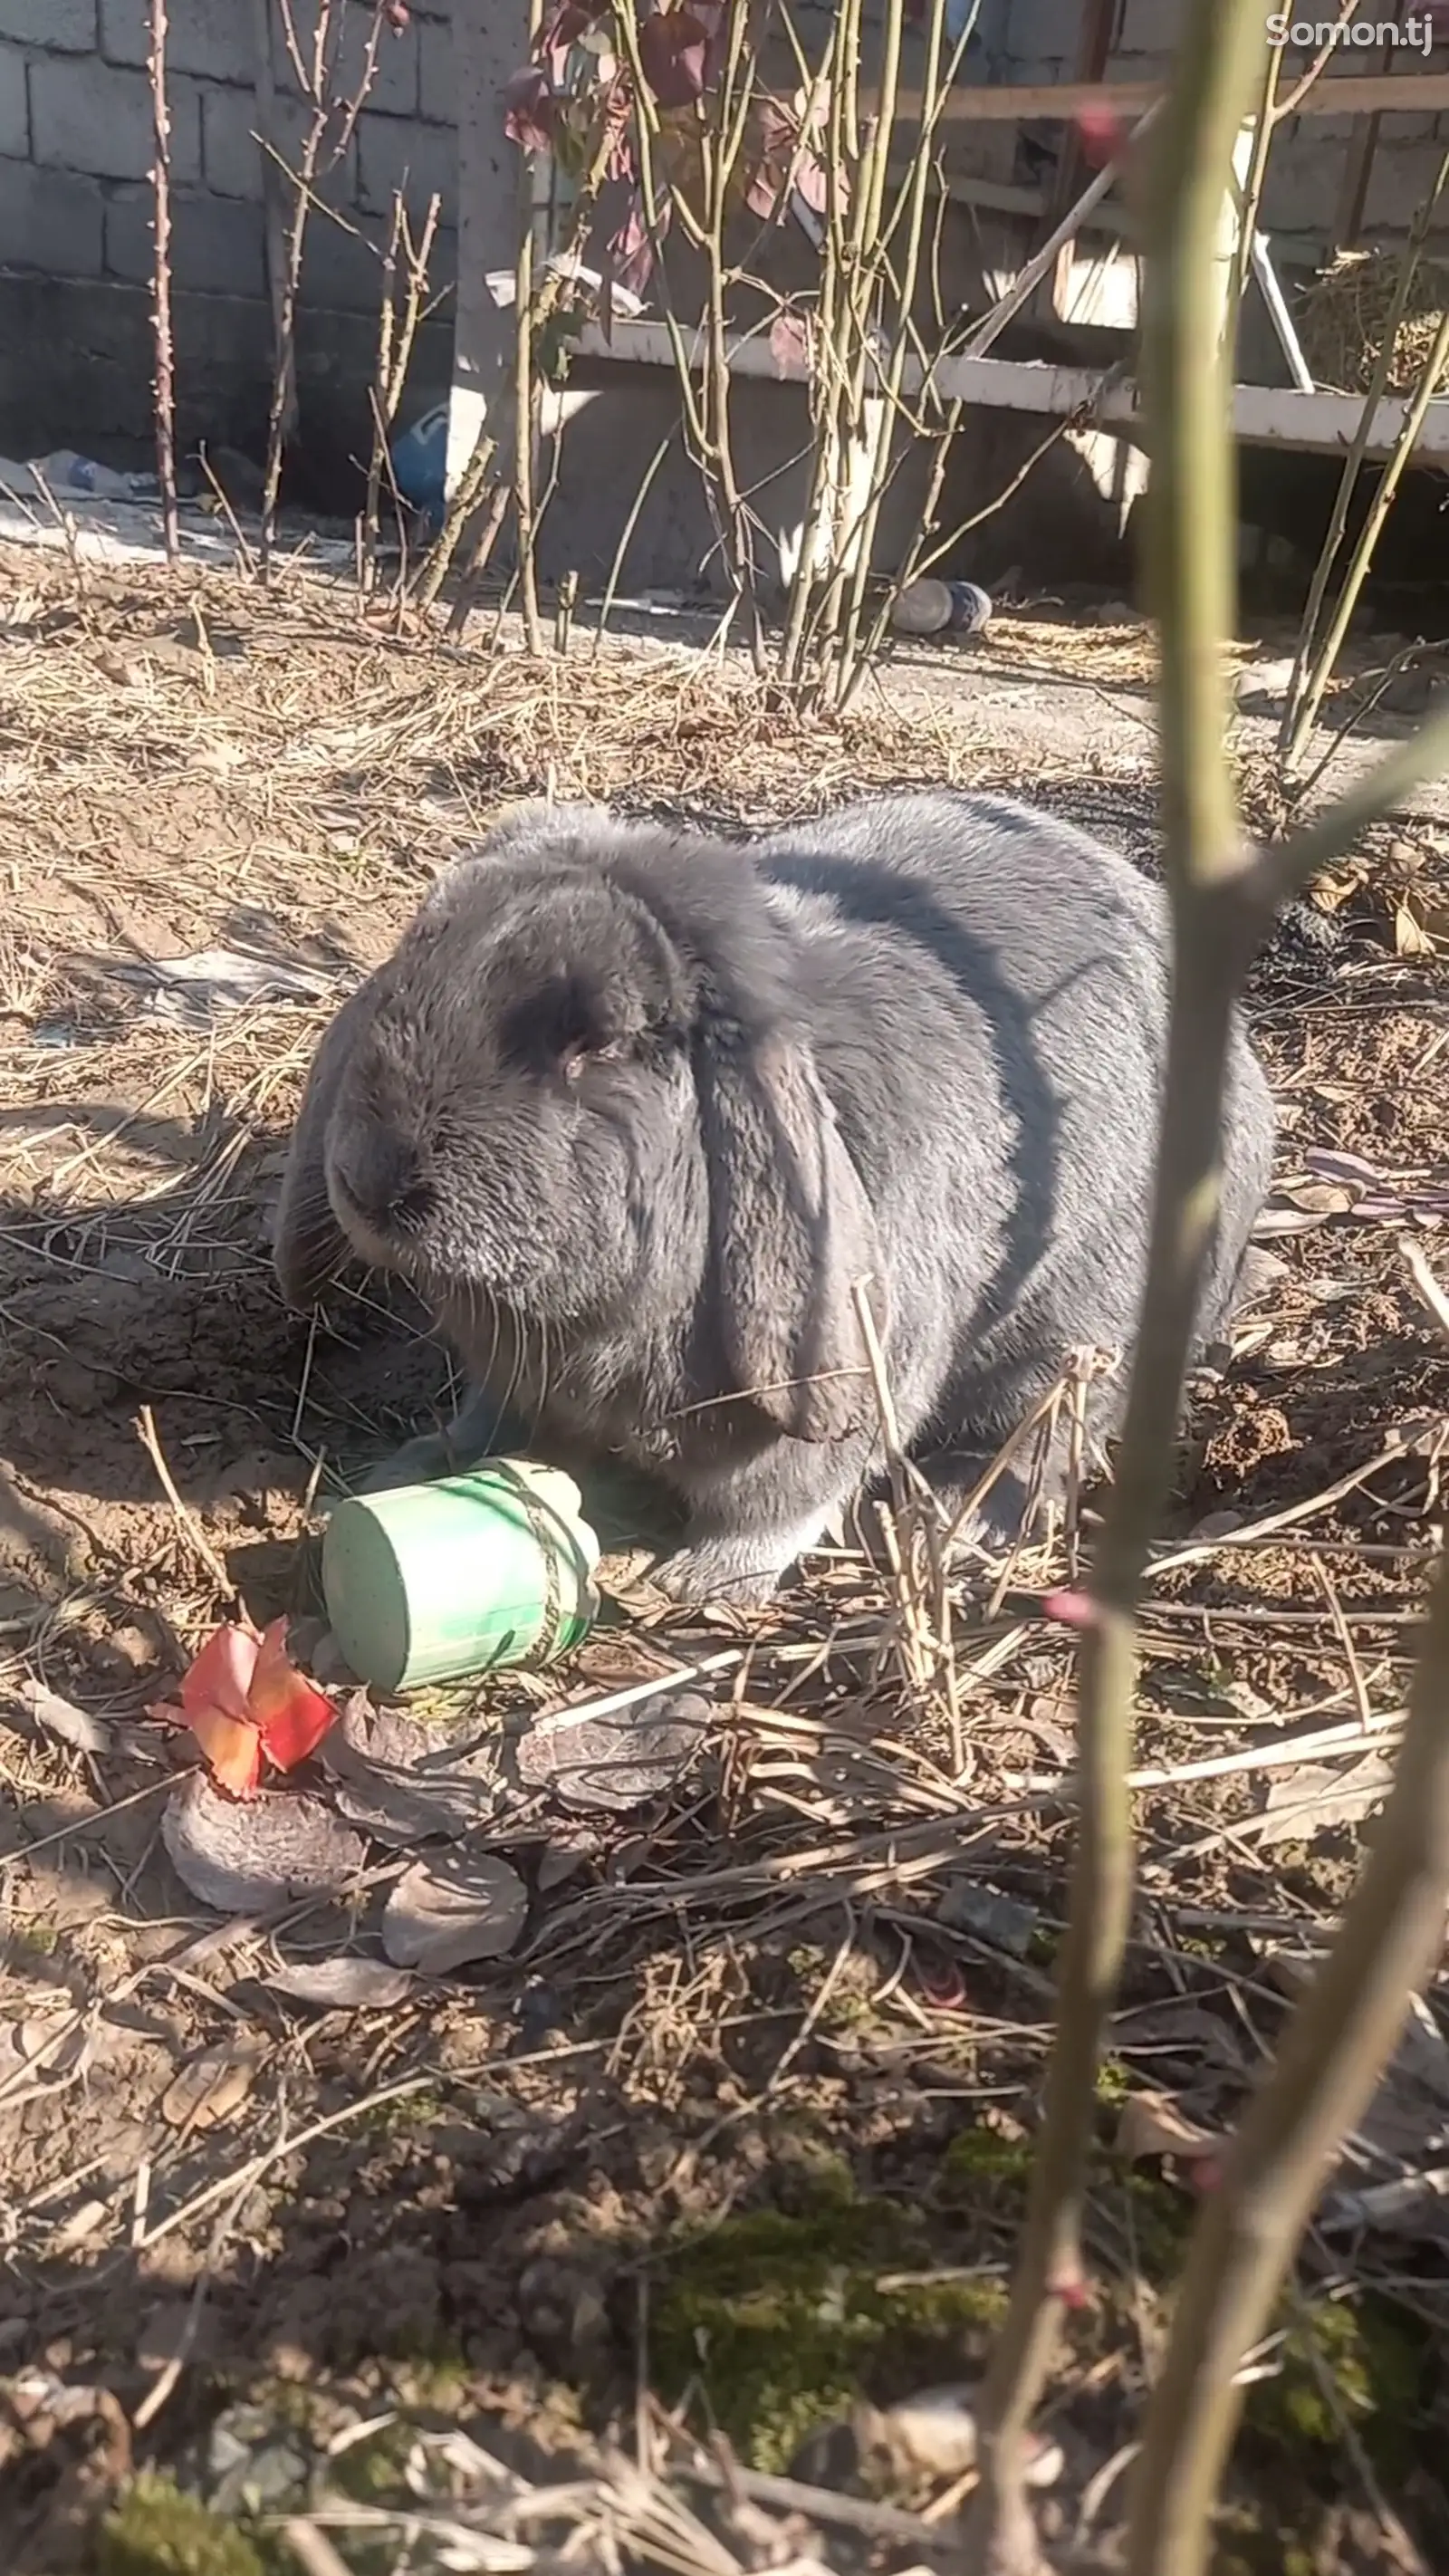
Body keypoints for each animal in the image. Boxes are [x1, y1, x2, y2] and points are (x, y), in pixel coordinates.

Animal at [268, 793, 1271, 1597]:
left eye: (599, 1044)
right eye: (406, 979)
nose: (372, 1185)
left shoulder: (826, 1405)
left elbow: (779, 1500)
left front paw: (702, 1581)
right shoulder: (516, 1377)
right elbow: (491, 1415)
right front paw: (413, 1463)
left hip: (1075, 1339)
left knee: (1049, 1431)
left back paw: (964, 1521)